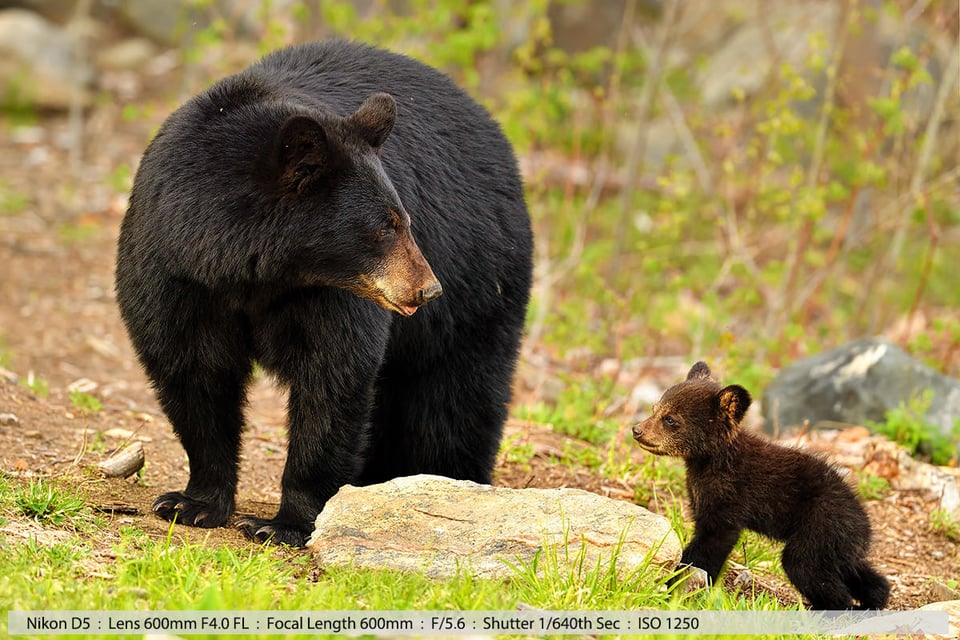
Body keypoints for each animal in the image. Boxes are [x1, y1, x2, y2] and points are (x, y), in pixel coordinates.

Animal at [117, 40, 536, 544]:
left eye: (405, 220)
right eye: (385, 227)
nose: (428, 289)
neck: (249, 271)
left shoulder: (328, 295)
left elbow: (332, 376)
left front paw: (283, 523)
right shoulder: (175, 273)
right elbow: (193, 371)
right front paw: (191, 503)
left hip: (481, 279)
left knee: (454, 393)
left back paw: (447, 479)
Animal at [632, 362, 888, 608]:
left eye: (670, 419)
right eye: (655, 409)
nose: (637, 430)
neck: (710, 461)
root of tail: (864, 524)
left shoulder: (730, 494)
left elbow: (714, 538)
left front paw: (678, 579)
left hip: (820, 527)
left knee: (807, 568)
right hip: (838, 545)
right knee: (854, 569)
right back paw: (875, 597)